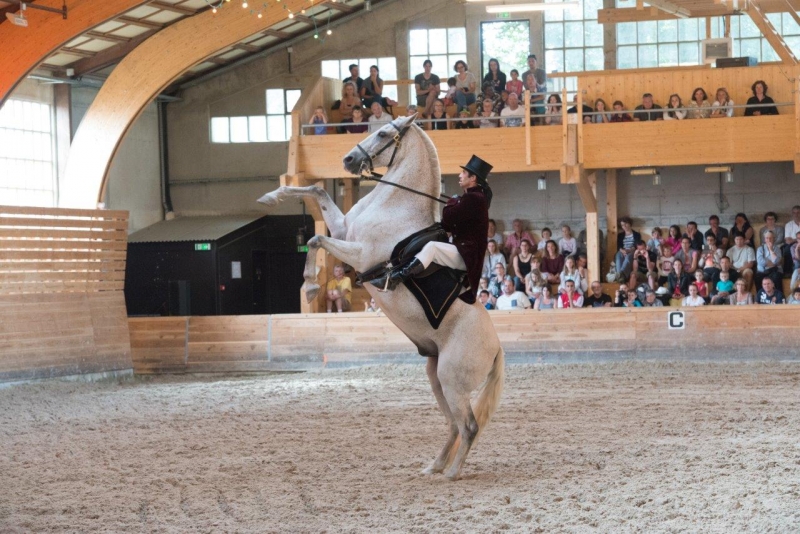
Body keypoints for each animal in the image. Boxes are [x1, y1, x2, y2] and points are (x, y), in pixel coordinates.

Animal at [260, 115, 504, 484]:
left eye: (384, 134)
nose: (348, 160)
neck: (395, 205)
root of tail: (497, 347)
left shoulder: (360, 254)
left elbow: (315, 239)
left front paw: (310, 286)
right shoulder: (343, 229)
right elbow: (317, 191)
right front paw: (270, 197)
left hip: (453, 381)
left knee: (469, 427)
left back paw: (452, 473)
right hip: (436, 377)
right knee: (453, 425)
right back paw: (434, 466)